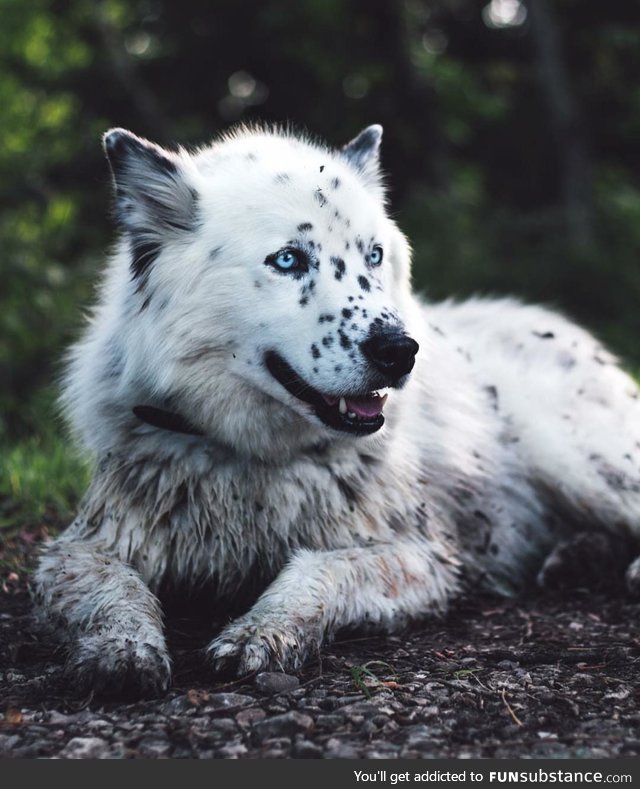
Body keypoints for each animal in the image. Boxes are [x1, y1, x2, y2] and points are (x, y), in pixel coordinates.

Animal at [33, 121, 640, 696]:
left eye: (374, 255)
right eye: (287, 260)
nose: (401, 351)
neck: (252, 463)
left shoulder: (419, 557)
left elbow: (317, 568)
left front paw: (262, 631)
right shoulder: (81, 548)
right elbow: (111, 590)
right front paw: (120, 653)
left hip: (574, 460)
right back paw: (576, 557)